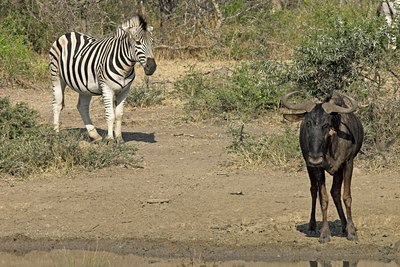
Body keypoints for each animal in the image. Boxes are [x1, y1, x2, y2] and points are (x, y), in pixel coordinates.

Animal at [49, 14, 157, 143]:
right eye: (137, 42)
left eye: (152, 42)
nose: (152, 67)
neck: (125, 67)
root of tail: (67, 34)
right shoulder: (107, 88)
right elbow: (110, 115)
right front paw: (110, 139)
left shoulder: (125, 90)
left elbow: (119, 114)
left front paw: (119, 138)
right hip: (56, 76)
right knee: (57, 104)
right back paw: (56, 134)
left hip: (84, 86)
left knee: (82, 107)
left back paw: (95, 135)